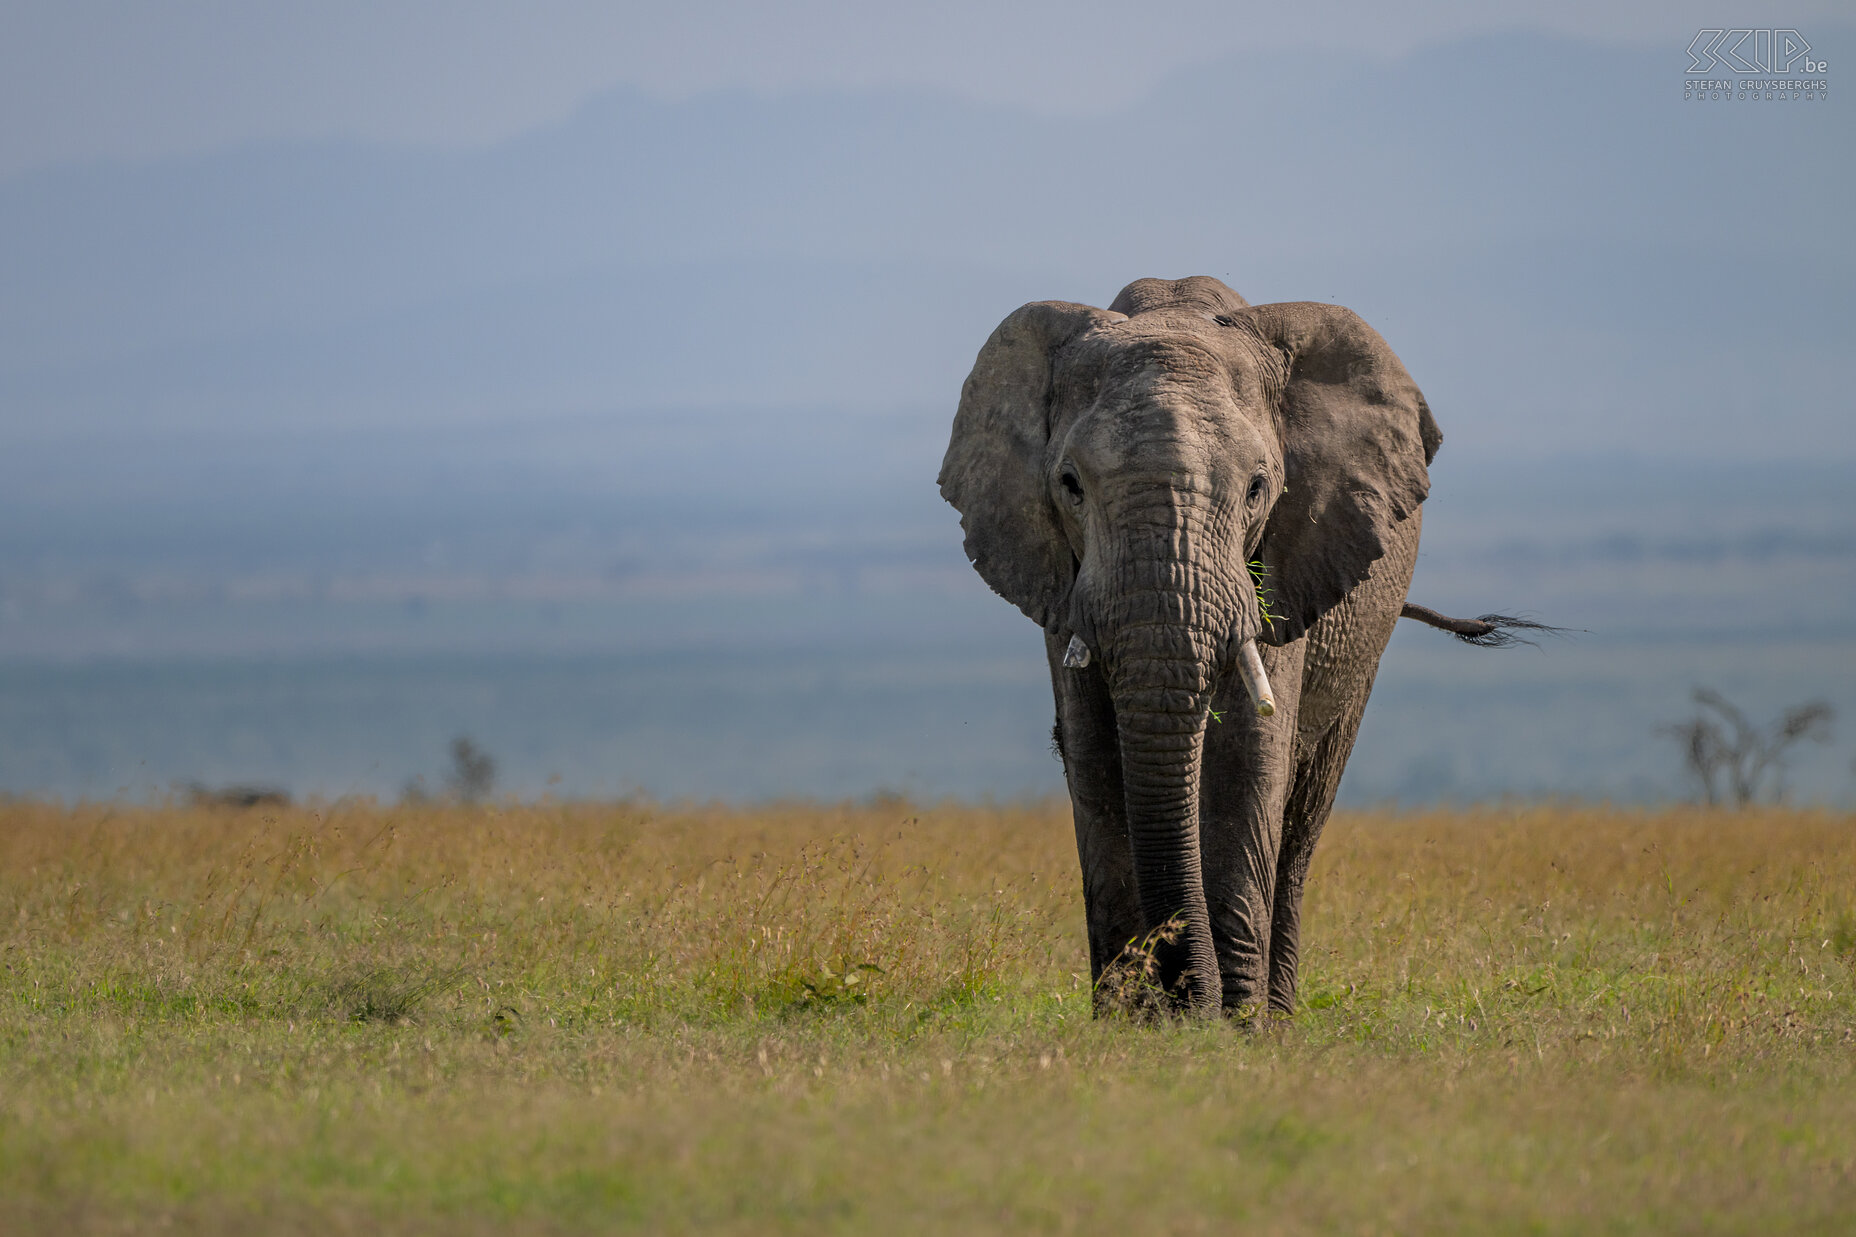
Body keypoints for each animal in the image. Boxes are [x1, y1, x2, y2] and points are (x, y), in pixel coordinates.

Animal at [942, 274, 1536, 1017]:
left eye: (1257, 488)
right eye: (1070, 485)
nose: (1186, 1001)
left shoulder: (1280, 565)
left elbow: (1248, 759)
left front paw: (1234, 1024)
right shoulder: (1065, 581)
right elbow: (1095, 758)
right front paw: (1128, 1023)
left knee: (1302, 820)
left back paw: (1274, 1016)